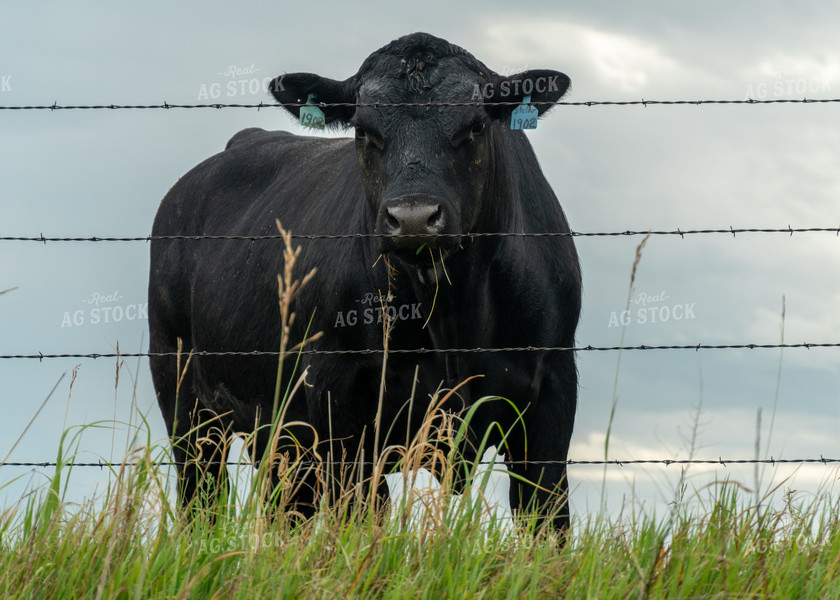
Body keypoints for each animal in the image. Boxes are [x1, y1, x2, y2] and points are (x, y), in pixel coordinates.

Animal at [148, 31, 580, 528]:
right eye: (362, 130)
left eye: (475, 127)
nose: (413, 218)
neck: (454, 319)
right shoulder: (338, 402)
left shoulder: (552, 399)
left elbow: (547, 517)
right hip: (184, 398)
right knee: (203, 500)